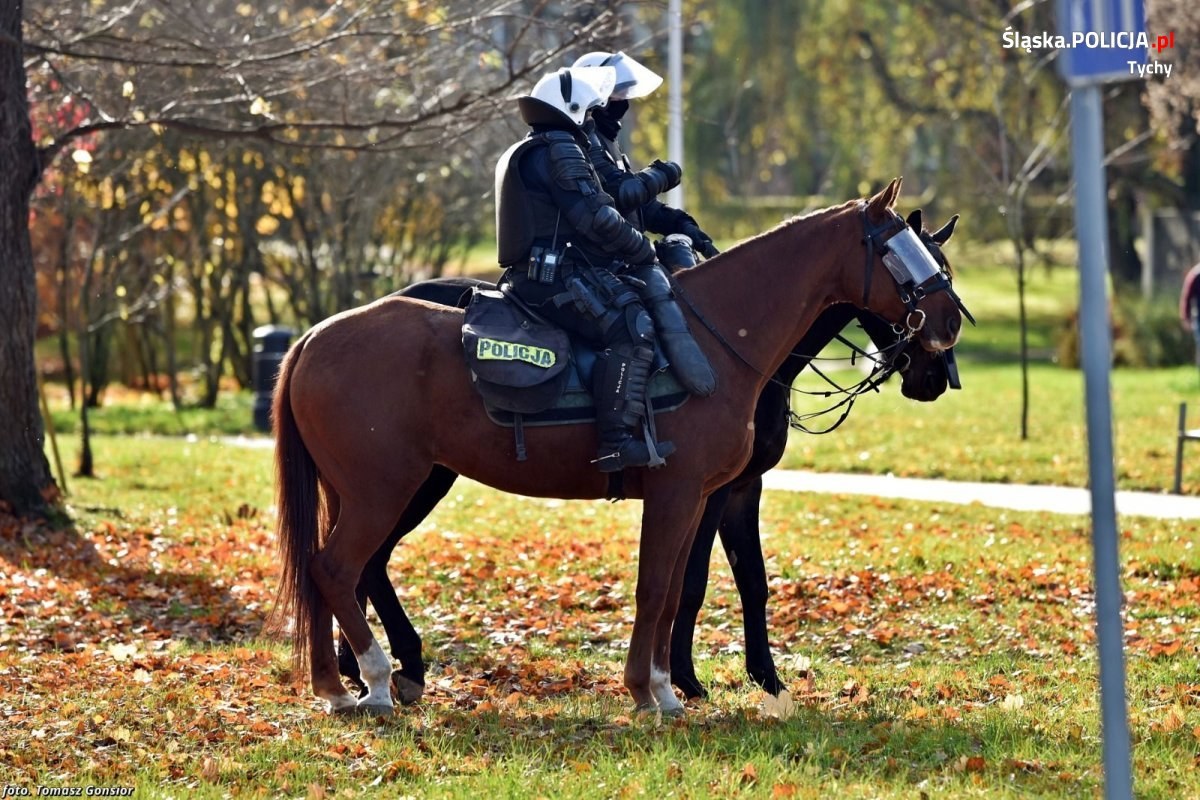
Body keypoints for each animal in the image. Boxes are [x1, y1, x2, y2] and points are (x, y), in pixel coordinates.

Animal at [272, 178, 964, 714]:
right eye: (898, 253)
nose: (949, 331)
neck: (716, 333)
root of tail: (315, 336)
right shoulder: (682, 493)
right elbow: (662, 587)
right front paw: (656, 689)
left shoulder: (706, 495)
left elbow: (687, 586)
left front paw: (679, 685)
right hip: (386, 490)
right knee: (337, 567)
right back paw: (375, 677)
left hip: (384, 488)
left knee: (337, 569)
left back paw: (341, 682)